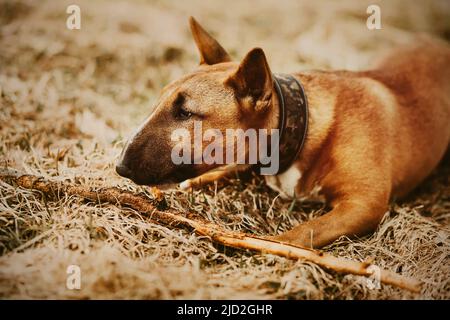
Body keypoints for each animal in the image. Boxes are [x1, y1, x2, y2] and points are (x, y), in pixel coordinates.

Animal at [117, 16, 450, 248]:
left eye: (185, 113)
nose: (119, 167)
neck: (303, 128)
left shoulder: (365, 204)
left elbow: (305, 231)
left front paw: (272, 246)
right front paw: (201, 180)